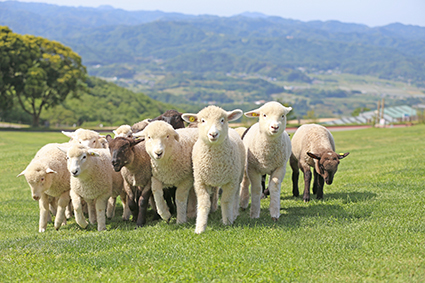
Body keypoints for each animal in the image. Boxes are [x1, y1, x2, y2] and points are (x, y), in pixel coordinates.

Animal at [181, 105, 245, 234]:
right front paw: (200, 227)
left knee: (235, 196)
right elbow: (204, 203)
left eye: (222, 120)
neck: (215, 164)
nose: (213, 134)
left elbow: (226, 201)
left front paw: (227, 222)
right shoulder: (200, 182)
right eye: (202, 120)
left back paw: (234, 214)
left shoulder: (231, 181)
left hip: (238, 177)